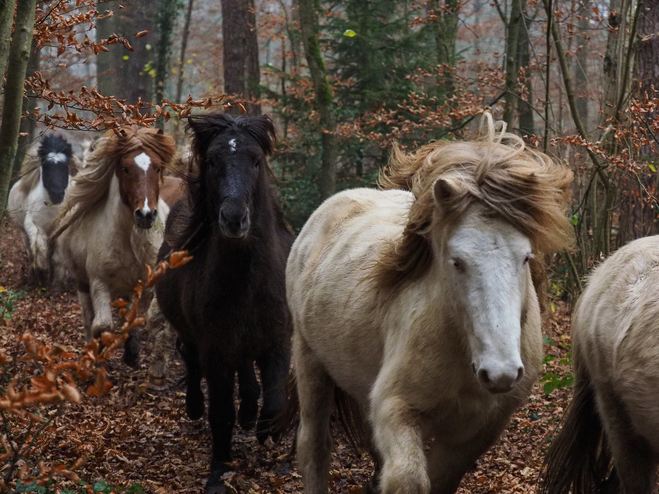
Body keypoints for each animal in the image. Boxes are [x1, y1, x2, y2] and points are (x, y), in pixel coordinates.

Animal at [7, 134, 77, 286]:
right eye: (46, 165)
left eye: (65, 166)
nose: (57, 194)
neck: (51, 208)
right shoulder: (33, 224)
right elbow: (38, 244)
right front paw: (41, 270)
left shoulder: (60, 230)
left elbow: (57, 258)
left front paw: (56, 283)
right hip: (23, 233)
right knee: (31, 250)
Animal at [51, 127, 175, 366]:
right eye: (125, 169)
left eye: (157, 168)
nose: (146, 215)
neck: (130, 237)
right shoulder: (99, 282)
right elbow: (102, 326)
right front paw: (98, 357)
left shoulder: (148, 283)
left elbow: (142, 319)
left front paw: (134, 354)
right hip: (82, 283)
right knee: (88, 317)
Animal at [155, 113, 294, 494]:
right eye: (213, 161)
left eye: (257, 161)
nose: (234, 218)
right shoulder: (215, 350)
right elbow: (220, 413)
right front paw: (219, 472)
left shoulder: (278, 342)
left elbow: (274, 401)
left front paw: (266, 433)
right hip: (195, 337)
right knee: (192, 364)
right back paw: (194, 407)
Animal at [286, 116, 576, 494]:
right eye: (457, 261)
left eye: (526, 257)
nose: (500, 372)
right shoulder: (395, 409)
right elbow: (408, 477)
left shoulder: (479, 431)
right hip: (309, 361)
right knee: (314, 446)